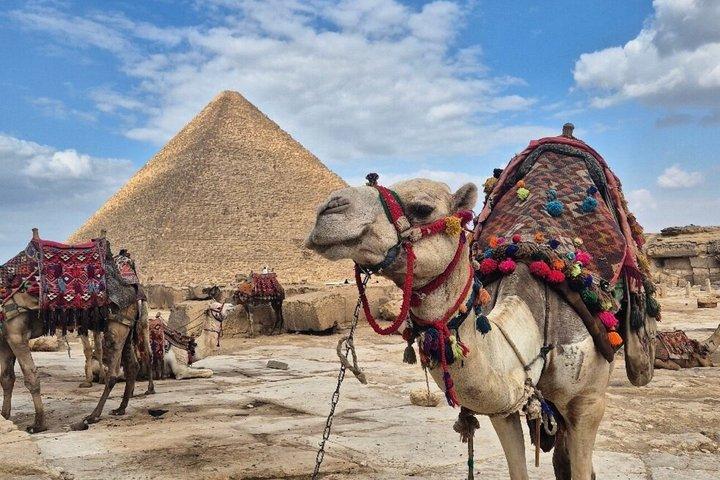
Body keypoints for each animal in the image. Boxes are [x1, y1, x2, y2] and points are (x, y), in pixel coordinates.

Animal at [307, 178, 628, 480]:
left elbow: (580, 468)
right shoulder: (503, 408)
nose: (328, 209)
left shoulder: (589, 402)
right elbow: (518, 469)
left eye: (422, 208)